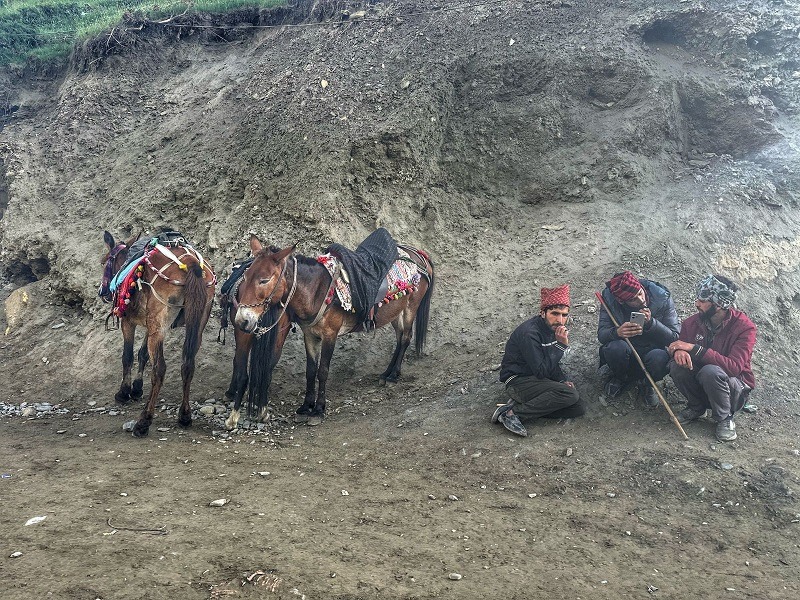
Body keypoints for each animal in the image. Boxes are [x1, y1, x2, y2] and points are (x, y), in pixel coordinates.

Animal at [99, 230, 217, 436]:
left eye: (106, 261)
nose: (102, 291)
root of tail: (192, 263)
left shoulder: (129, 323)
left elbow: (128, 356)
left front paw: (124, 392)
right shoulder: (151, 325)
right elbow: (143, 354)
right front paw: (137, 389)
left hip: (159, 323)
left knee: (159, 369)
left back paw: (144, 421)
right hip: (195, 325)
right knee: (188, 365)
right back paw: (184, 416)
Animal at [228, 233, 434, 426]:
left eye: (264, 280)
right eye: (245, 276)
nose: (242, 320)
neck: (317, 291)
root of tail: (418, 254)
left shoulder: (330, 335)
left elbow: (323, 371)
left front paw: (319, 409)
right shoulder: (310, 335)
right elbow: (311, 370)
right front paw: (306, 406)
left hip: (411, 307)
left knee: (406, 337)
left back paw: (392, 376)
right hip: (396, 312)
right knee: (400, 338)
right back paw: (387, 373)